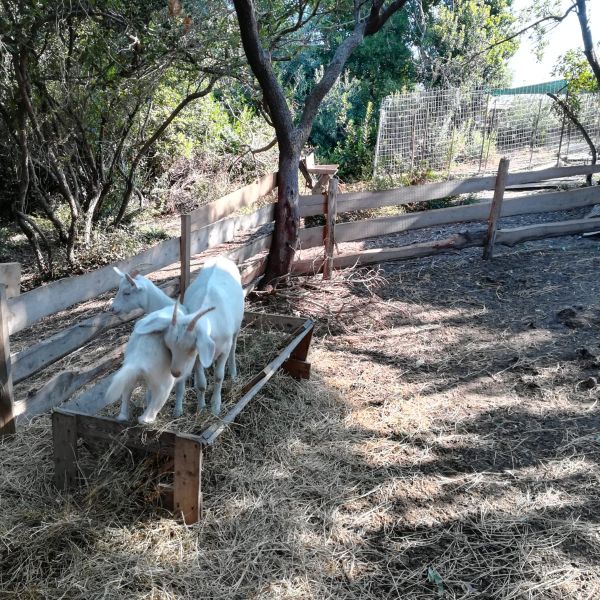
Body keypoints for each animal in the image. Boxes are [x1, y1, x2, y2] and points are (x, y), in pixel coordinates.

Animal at [136, 258, 244, 418]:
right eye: (169, 347)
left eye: (189, 348)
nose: (175, 372)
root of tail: (221, 257)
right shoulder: (199, 357)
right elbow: (201, 383)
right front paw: (201, 408)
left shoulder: (222, 349)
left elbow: (219, 377)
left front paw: (215, 407)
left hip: (237, 327)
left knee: (234, 347)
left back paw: (233, 372)